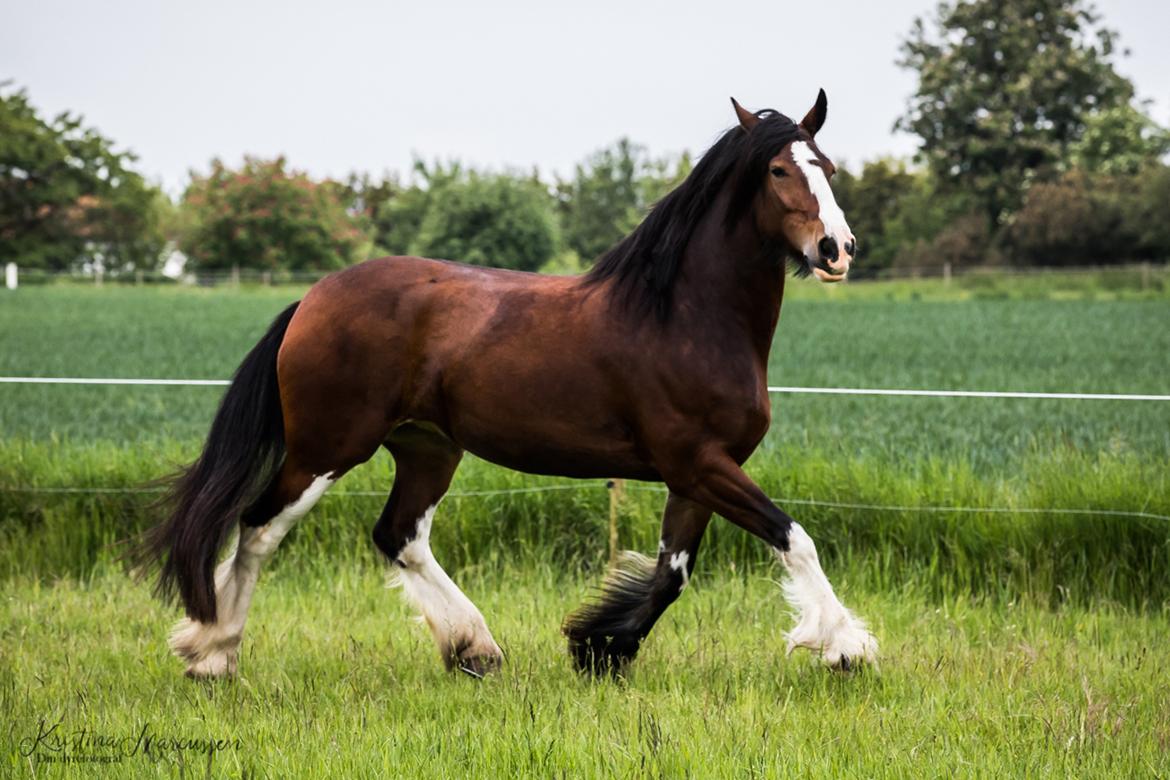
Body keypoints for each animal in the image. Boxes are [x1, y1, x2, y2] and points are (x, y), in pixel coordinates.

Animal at [136, 90, 879, 678]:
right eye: (779, 169)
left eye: (829, 168)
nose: (836, 250)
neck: (684, 315)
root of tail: (311, 300)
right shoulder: (700, 463)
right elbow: (794, 538)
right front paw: (846, 647)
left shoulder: (695, 475)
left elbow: (672, 574)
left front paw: (600, 647)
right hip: (326, 448)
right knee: (260, 528)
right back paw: (212, 653)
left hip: (427, 447)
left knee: (398, 535)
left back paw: (474, 647)